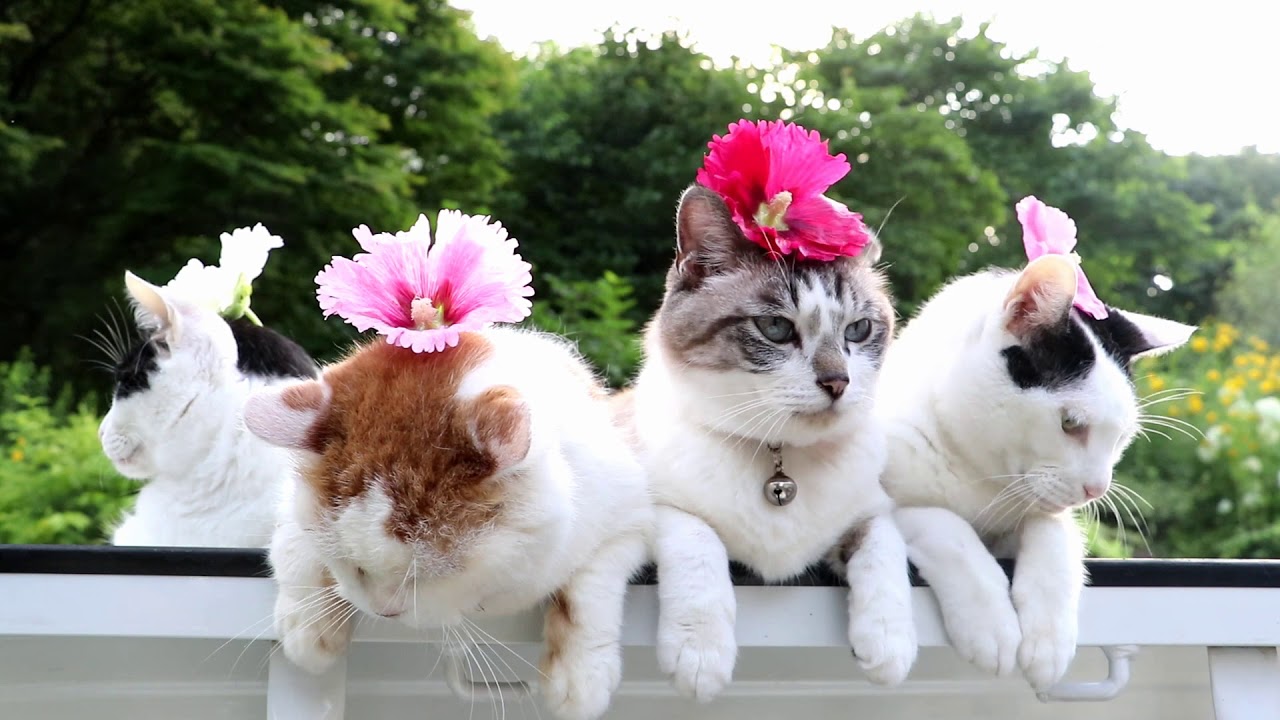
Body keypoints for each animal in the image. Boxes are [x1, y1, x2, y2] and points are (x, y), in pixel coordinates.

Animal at [241, 325, 650, 717]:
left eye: (435, 575)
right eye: (353, 566)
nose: (385, 610)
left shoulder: (630, 516)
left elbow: (588, 592)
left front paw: (580, 679)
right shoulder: (289, 503)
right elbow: (293, 548)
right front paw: (306, 628)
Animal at [619, 185, 921, 702]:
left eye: (858, 329)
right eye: (776, 328)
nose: (838, 382)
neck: (778, 456)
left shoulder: (871, 508)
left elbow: (884, 546)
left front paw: (888, 646)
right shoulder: (654, 504)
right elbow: (698, 539)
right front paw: (700, 658)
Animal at [880, 254, 1198, 686]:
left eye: (1121, 437)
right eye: (1070, 423)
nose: (1097, 489)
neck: (982, 479)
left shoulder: (1042, 513)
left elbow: (1054, 533)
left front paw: (1048, 638)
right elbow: (948, 528)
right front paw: (991, 624)